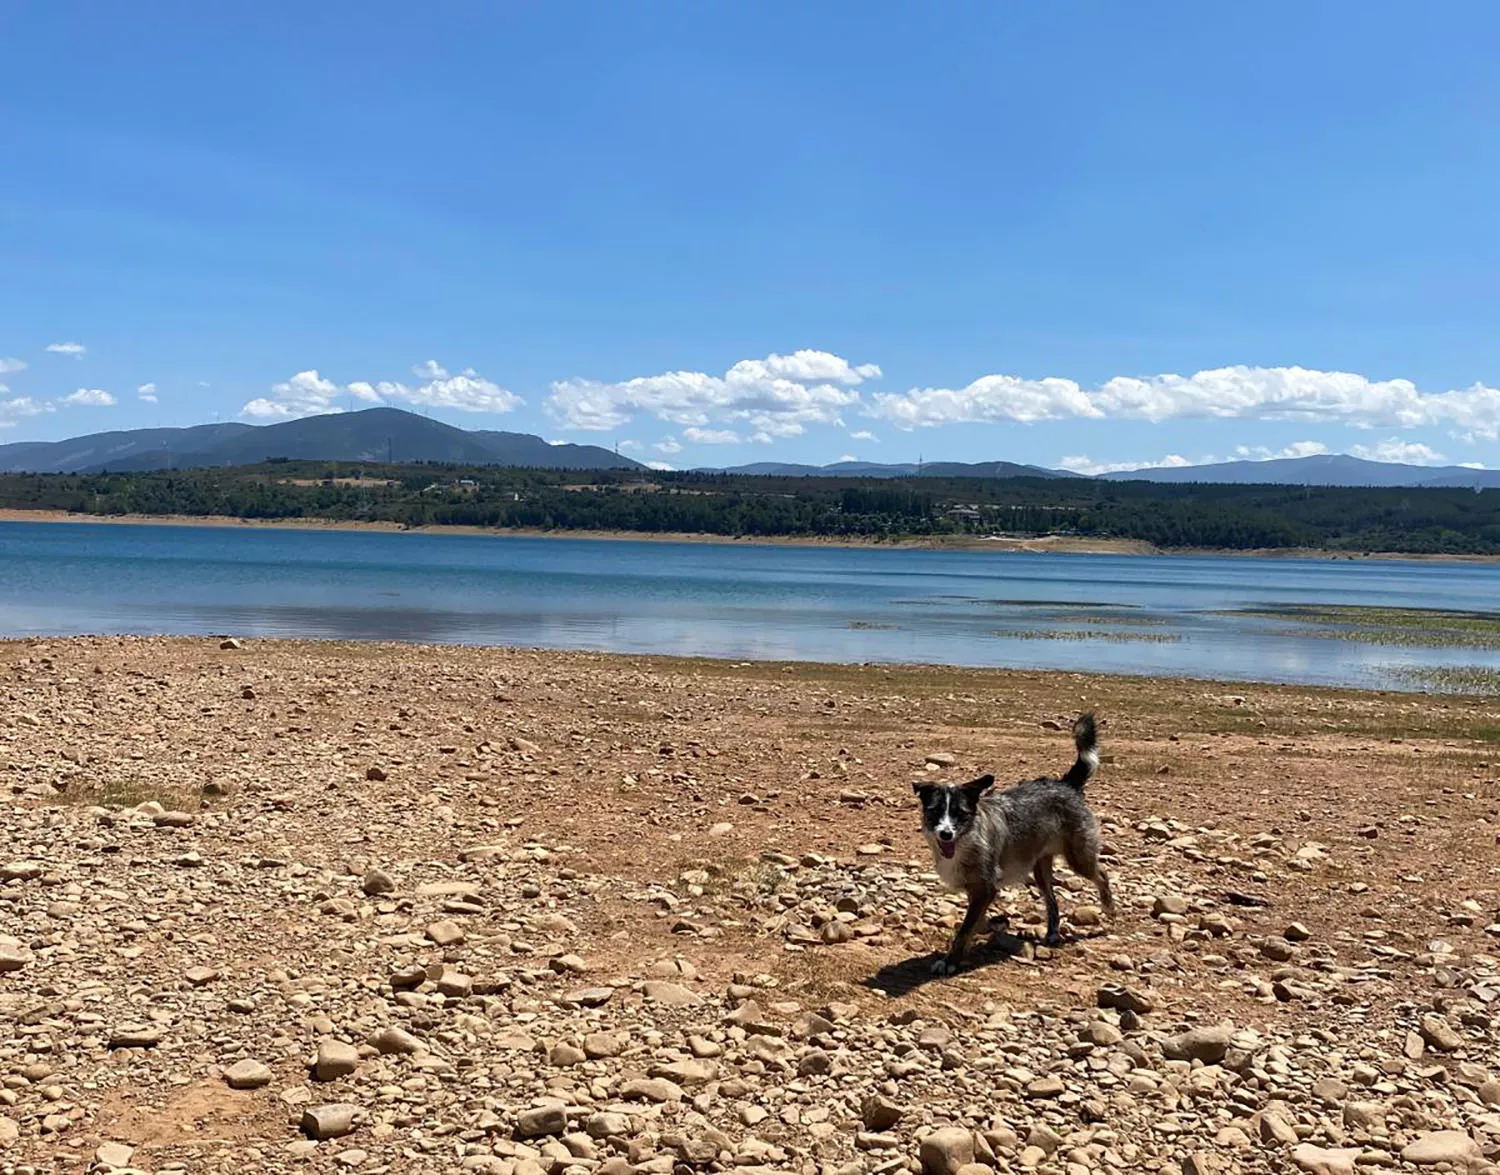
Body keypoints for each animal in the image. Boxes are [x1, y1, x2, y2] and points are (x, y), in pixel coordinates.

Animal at [912, 717, 1116, 972]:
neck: (965, 843)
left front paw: (951, 961)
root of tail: (1066, 785)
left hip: (1079, 858)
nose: (946, 834)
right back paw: (1052, 933)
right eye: (935, 812)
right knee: (1052, 901)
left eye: (960, 814)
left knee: (1102, 874)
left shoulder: (985, 888)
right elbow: (973, 924)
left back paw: (1108, 907)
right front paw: (984, 931)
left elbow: (964, 930)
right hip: (1040, 870)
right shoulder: (977, 891)